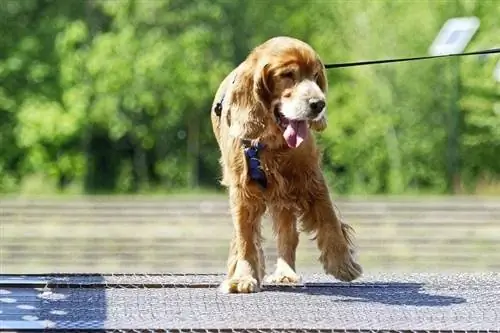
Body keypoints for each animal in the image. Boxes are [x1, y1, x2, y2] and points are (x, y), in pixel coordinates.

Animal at [209, 35, 362, 292]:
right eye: (288, 74)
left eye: (315, 75)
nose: (318, 104)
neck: (271, 141)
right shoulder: (243, 189)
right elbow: (245, 239)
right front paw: (243, 277)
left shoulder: (310, 177)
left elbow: (329, 219)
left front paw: (342, 263)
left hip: (285, 197)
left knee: (288, 234)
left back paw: (285, 273)